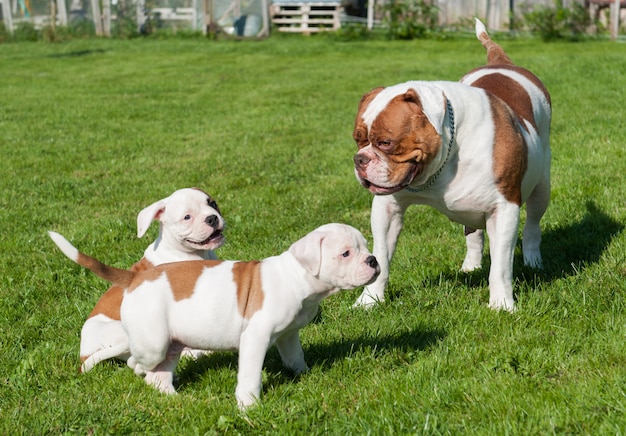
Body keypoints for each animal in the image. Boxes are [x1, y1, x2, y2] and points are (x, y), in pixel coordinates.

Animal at [47, 223, 376, 410]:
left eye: (366, 247)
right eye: (346, 254)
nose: (373, 261)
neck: (296, 275)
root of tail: (135, 277)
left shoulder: (288, 334)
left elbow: (295, 357)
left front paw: (305, 375)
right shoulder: (255, 338)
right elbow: (250, 375)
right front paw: (248, 406)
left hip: (170, 344)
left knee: (157, 376)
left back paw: (178, 399)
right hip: (153, 342)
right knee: (135, 363)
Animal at [354, 18, 548, 312]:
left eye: (385, 143)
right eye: (358, 140)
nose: (360, 159)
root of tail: (501, 61)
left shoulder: (504, 210)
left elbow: (501, 267)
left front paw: (502, 304)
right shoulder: (387, 210)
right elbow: (381, 257)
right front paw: (369, 299)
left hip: (541, 188)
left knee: (533, 226)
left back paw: (533, 260)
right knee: (473, 233)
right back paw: (471, 266)